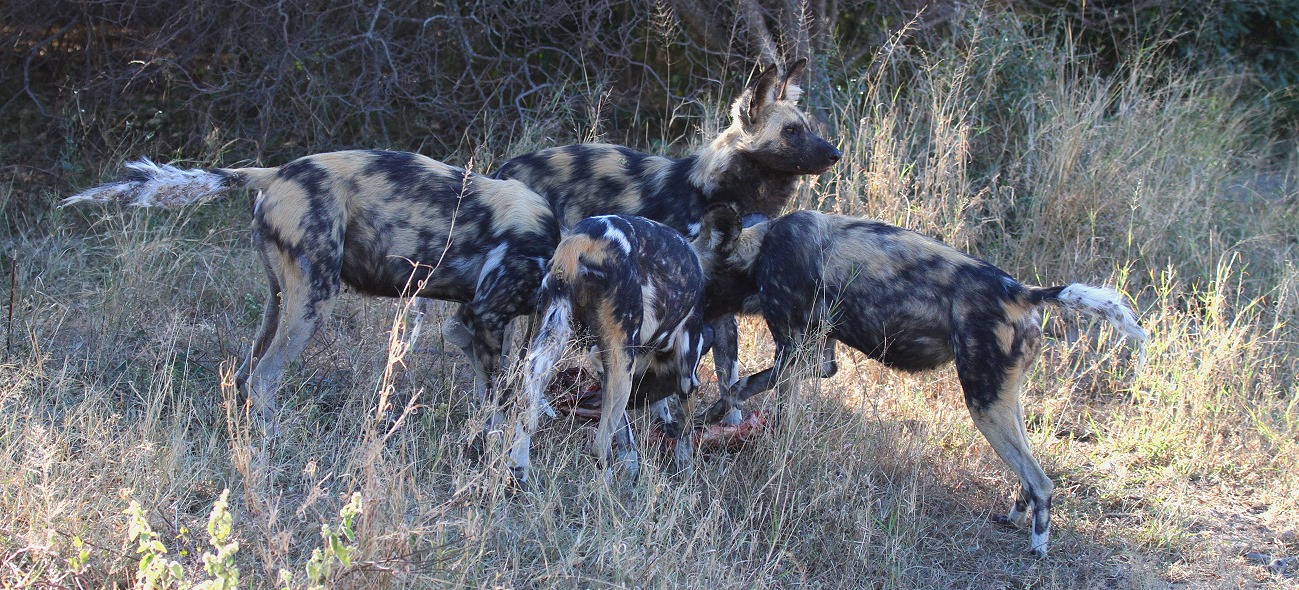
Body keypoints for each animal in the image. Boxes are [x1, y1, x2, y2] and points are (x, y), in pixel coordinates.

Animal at [64, 148, 558, 434]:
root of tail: (275, 172)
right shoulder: (485, 317)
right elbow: (501, 400)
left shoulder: (472, 324)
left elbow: (493, 390)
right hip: (313, 304)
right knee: (263, 379)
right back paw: (272, 448)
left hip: (279, 301)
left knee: (245, 374)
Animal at [496, 57, 841, 413]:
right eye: (791, 131)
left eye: (806, 127)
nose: (835, 154)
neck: (715, 190)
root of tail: (507, 170)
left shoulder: (720, 304)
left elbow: (728, 374)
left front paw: (728, 417)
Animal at [517, 207, 743, 483]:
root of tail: (584, 240)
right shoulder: (686, 378)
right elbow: (685, 437)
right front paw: (685, 473)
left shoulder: (610, 367)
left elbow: (629, 439)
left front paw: (632, 471)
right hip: (622, 367)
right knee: (599, 446)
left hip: (549, 347)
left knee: (525, 415)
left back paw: (518, 472)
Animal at [701, 207, 1148, 558]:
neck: (760, 249)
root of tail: (1021, 291)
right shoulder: (817, 358)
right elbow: (774, 399)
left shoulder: (795, 351)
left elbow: (739, 387)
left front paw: (719, 416)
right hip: (1003, 398)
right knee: (1028, 467)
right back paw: (1014, 516)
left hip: (983, 405)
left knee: (1041, 480)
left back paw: (1038, 547)